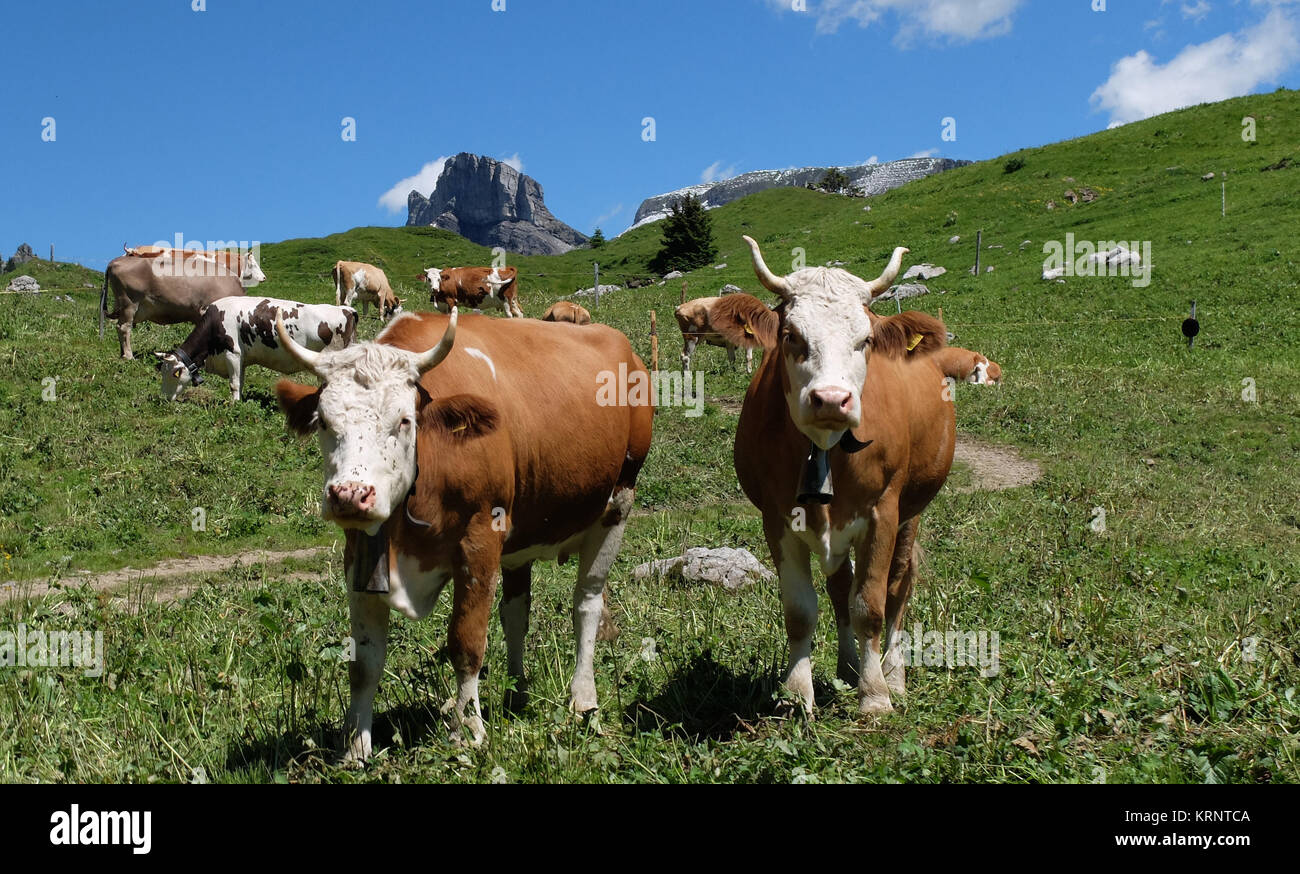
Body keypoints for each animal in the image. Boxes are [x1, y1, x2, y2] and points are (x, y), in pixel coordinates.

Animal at [100, 248, 265, 359]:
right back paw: (129, 356)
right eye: (253, 264)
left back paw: (123, 353)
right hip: (129, 304)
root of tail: (115, 262)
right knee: (124, 328)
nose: (264, 277)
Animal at [153, 297, 357, 401]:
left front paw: (233, 405)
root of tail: (347, 309)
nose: (163, 398)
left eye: (174, 373)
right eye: (161, 371)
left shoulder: (232, 353)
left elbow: (234, 384)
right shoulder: (241, 359)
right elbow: (241, 382)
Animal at [273, 309, 653, 760]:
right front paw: (355, 748)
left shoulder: (479, 540)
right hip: (522, 534)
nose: (350, 494)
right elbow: (364, 661)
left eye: (404, 420)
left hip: (617, 503)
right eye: (325, 423)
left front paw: (468, 729)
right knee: (515, 612)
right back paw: (516, 695)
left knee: (586, 604)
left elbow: (467, 642)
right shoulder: (360, 552)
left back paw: (583, 698)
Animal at [711, 236, 955, 717]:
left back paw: (893, 674)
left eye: (865, 340)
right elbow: (802, 610)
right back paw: (847, 666)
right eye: (791, 335)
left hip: (913, 509)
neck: (824, 449)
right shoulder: (777, 518)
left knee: (899, 584)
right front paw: (797, 694)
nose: (830, 399)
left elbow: (870, 606)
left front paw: (875, 696)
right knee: (840, 586)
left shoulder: (883, 512)